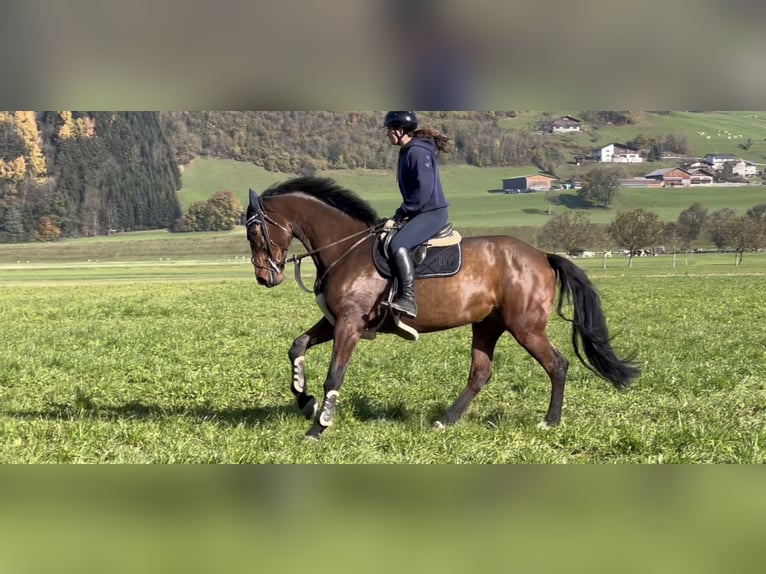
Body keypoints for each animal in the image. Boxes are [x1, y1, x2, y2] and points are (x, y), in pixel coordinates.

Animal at [248, 178, 640, 444]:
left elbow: (334, 376)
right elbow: (297, 346)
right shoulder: (337, 321)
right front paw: (305, 399)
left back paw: (550, 421)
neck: (346, 248)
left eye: (255, 232)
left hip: (525, 327)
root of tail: (542, 255)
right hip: (487, 325)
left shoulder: (349, 323)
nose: (265, 278)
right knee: (480, 373)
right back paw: (446, 420)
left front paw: (319, 426)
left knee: (557, 365)